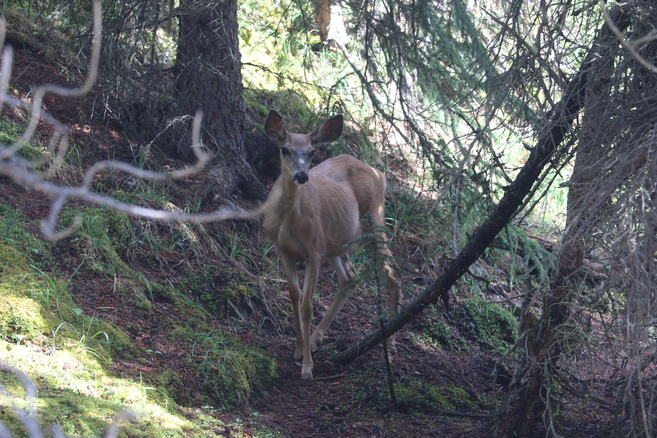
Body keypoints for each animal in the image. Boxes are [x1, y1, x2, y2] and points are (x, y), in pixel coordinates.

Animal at [262, 109, 401, 380]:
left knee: (392, 272)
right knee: (349, 277)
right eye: (285, 149)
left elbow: (307, 305)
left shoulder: (314, 250)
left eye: (312, 152)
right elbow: (294, 296)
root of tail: (379, 172)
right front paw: (298, 348)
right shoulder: (283, 248)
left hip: (375, 221)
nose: (302, 175)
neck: (289, 220)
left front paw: (307, 367)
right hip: (338, 241)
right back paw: (316, 338)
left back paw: (390, 346)